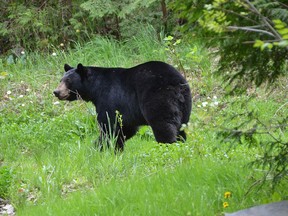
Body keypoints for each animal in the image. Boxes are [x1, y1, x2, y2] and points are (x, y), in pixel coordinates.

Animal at [54, 61, 194, 150]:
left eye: (68, 81)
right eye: (60, 80)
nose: (56, 92)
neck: (95, 89)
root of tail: (176, 83)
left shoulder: (109, 99)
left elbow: (109, 127)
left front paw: (99, 148)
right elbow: (125, 129)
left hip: (158, 98)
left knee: (163, 125)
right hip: (185, 105)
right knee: (181, 127)